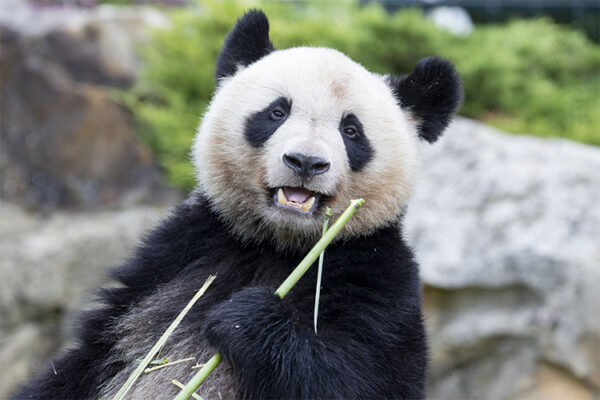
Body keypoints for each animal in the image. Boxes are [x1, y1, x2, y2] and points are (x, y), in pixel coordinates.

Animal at [16, 9, 462, 400]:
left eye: (351, 130)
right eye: (277, 111)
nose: (305, 162)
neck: (280, 243)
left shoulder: (378, 280)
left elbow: (359, 381)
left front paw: (245, 317)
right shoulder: (180, 252)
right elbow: (88, 356)